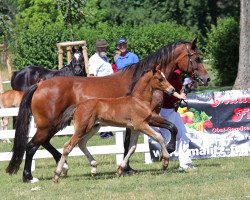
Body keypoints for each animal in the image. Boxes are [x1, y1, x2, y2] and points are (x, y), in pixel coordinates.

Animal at [5, 38, 209, 183]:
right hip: (50, 124)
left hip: (57, 124)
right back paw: (29, 176)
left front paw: (126, 168)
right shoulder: (144, 119)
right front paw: (166, 150)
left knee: (44, 143)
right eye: (196, 58)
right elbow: (161, 134)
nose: (206, 79)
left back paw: (65, 167)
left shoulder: (135, 123)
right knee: (32, 145)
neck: (139, 85)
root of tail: (40, 85)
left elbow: (130, 145)